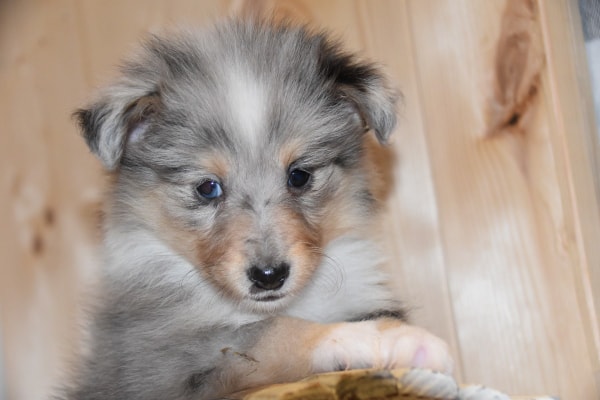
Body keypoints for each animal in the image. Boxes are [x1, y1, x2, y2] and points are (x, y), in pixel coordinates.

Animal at [63, 18, 452, 400]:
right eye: (207, 188)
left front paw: (397, 333)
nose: (269, 276)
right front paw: (379, 339)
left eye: (299, 175)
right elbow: (270, 332)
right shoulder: (160, 359)